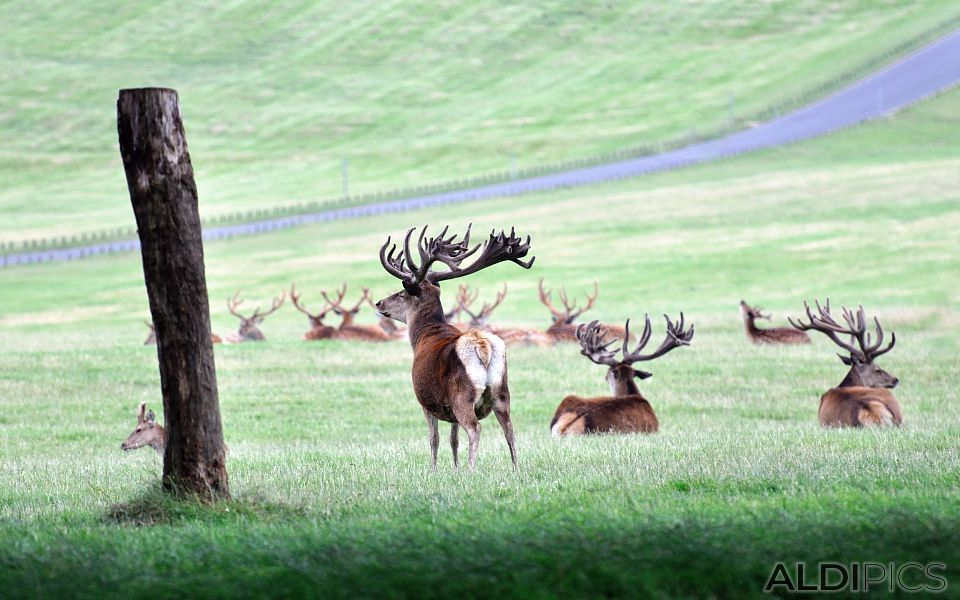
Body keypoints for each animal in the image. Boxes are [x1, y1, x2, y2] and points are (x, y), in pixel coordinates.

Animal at [376, 224, 536, 468]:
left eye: (401, 294)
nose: (379, 303)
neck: (424, 334)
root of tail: (482, 346)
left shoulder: (426, 401)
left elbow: (434, 439)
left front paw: (433, 470)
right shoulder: (448, 407)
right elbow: (453, 439)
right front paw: (455, 468)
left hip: (463, 394)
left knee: (475, 428)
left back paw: (472, 470)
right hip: (501, 391)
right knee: (509, 429)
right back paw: (516, 469)